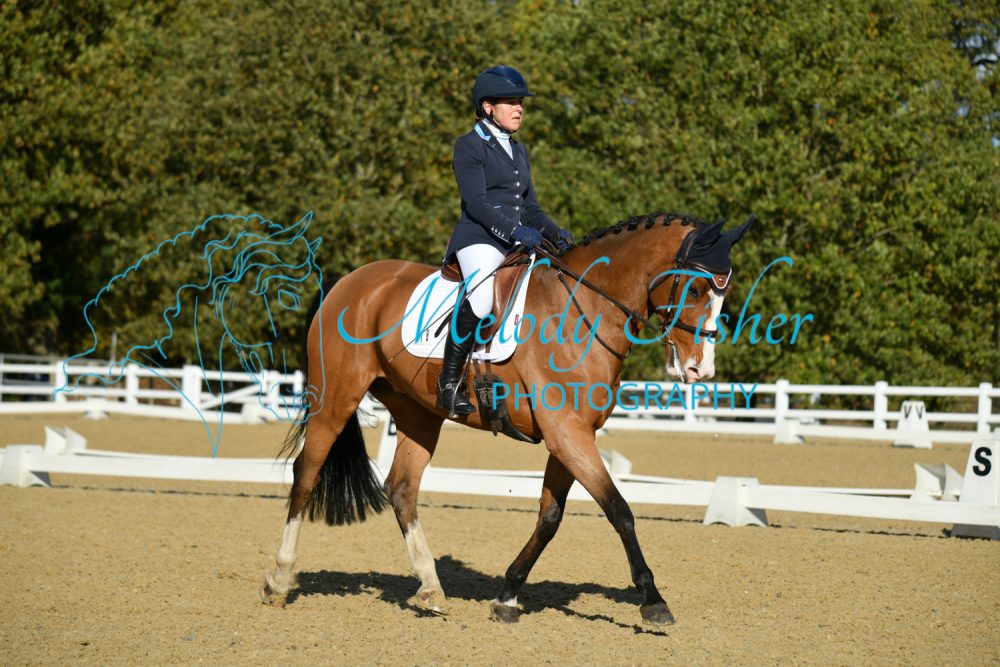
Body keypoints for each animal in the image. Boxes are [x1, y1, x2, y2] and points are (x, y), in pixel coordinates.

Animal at [260, 211, 754, 625]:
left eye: (723, 293)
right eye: (694, 289)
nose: (700, 369)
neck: (585, 310)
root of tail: (347, 281)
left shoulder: (571, 435)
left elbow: (550, 518)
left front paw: (508, 595)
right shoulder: (567, 433)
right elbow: (620, 510)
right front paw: (653, 601)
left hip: (418, 413)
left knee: (401, 488)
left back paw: (431, 589)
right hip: (335, 399)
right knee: (307, 473)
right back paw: (279, 580)